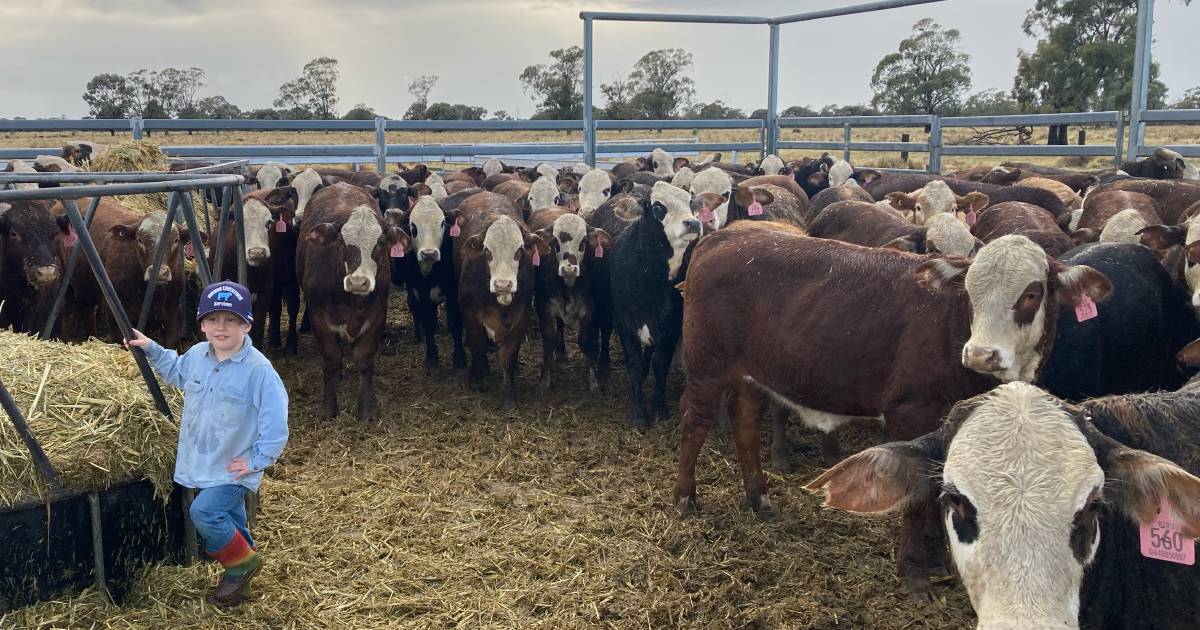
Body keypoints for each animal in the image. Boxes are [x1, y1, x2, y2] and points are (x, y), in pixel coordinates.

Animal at [296, 181, 410, 417]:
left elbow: (364, 360)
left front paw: (367, 409)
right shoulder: (318, 317)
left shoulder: (378, 315)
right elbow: (331, 360)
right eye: (341, 240)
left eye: (381, 241)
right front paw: (328, 408)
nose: (358, 282)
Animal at [453, 192, 549, 408]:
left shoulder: (521, 317)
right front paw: (477, 379)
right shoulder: (469, 313)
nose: (502, 284)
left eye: (519, 250)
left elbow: (509, 356)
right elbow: (477, 345)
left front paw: (508, 394)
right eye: (487, 250)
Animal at [676, 223, 1113, 592]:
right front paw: (914, 569)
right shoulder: (910, 412)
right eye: (969, 293)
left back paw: (759, 498)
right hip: (706, 367)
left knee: (745, 425)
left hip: (751, 375)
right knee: (694, 424)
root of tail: (727, 235)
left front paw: (938, 554)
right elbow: (917, 494)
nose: (981, 354)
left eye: (1031, 293)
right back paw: (685, 497)